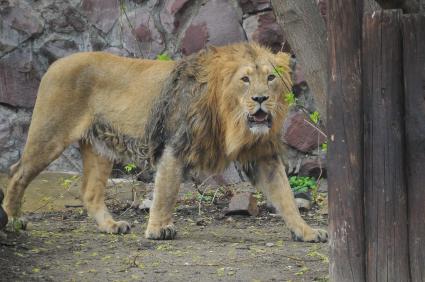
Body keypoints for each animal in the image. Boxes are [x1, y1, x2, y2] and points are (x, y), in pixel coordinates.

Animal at [2, 41, 328, 242]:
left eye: (271, 78)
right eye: (245, 79)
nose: (261, 99)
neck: (232, 119)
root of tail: (56, 62)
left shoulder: (263, 155)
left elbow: (286, 197)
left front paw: (307, 231)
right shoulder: (175, 144)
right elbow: (167, 190)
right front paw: (159, 229)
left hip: (99, 147)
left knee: (90, 192)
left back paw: (111, 226)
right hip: (50, 135)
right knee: (17, 173)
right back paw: (13, 221)